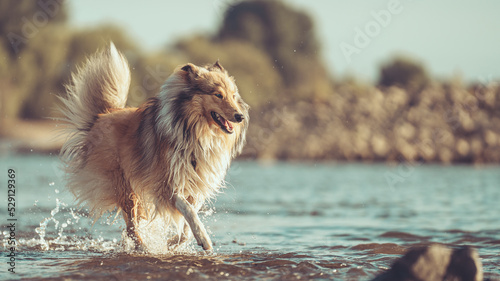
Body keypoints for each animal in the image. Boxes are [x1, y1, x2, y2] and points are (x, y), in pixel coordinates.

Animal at [59, 43, 249, 249]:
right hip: (123, 186)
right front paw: (204, 238)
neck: (197, 132)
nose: (240, 116)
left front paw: (173, 242)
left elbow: (187, 225)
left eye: (233, 95)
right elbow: (188, 211)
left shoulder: (196, 187)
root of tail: (103, 115)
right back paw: (143, 247)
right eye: (218, 95)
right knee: (131, 227)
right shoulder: (165, 185)